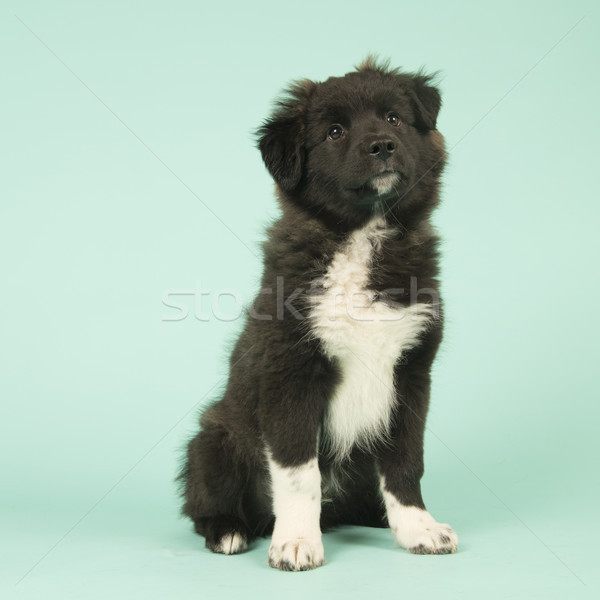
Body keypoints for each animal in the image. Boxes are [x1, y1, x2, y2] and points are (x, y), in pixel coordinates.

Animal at [180, 58, 458, 568]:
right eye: (333, 132)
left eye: (394, 118)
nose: (382, 146)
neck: (361, 235)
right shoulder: (290, 372)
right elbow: (297, 471)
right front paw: (295, 542)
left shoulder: (412, 371)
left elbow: (406, 461)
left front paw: (418, 528)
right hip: (214, 437)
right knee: (205, 500)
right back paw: (229, 530)